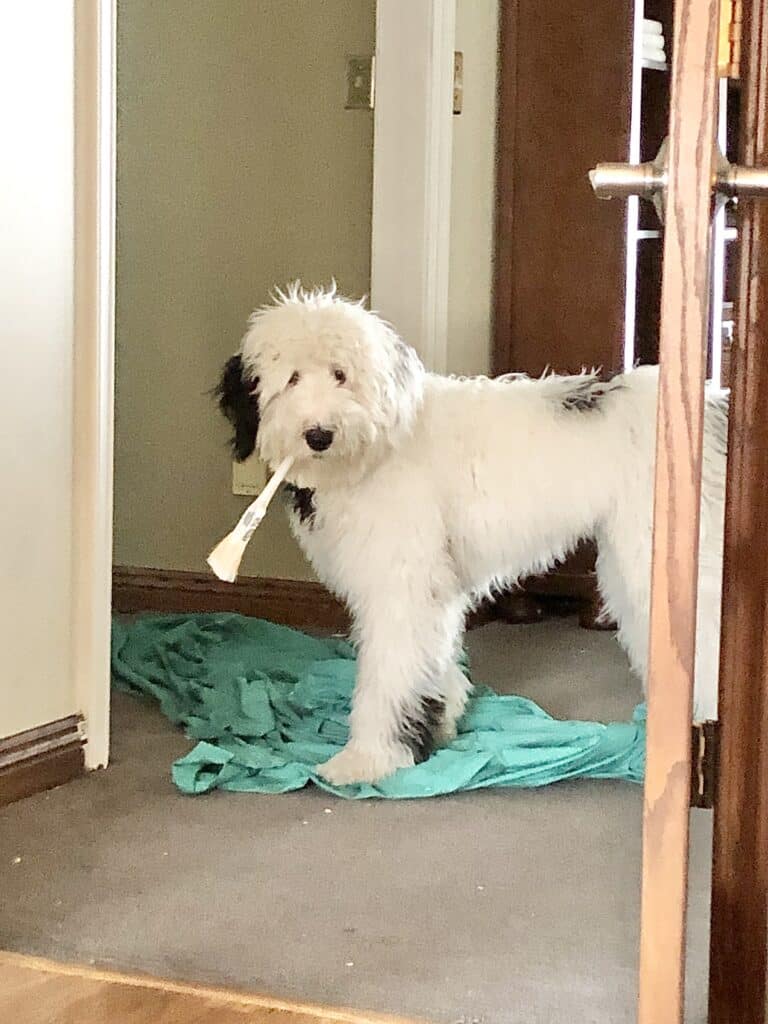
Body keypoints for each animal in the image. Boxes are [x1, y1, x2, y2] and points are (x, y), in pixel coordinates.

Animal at [215, 284, 729, 786]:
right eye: (292, 379)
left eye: (341, 374)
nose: (319, 434)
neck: (378, 447)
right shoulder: (432, 589)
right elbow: (430, 660)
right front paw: (438, 721)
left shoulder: (402, 582)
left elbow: (389, 673)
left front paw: (370, 757)